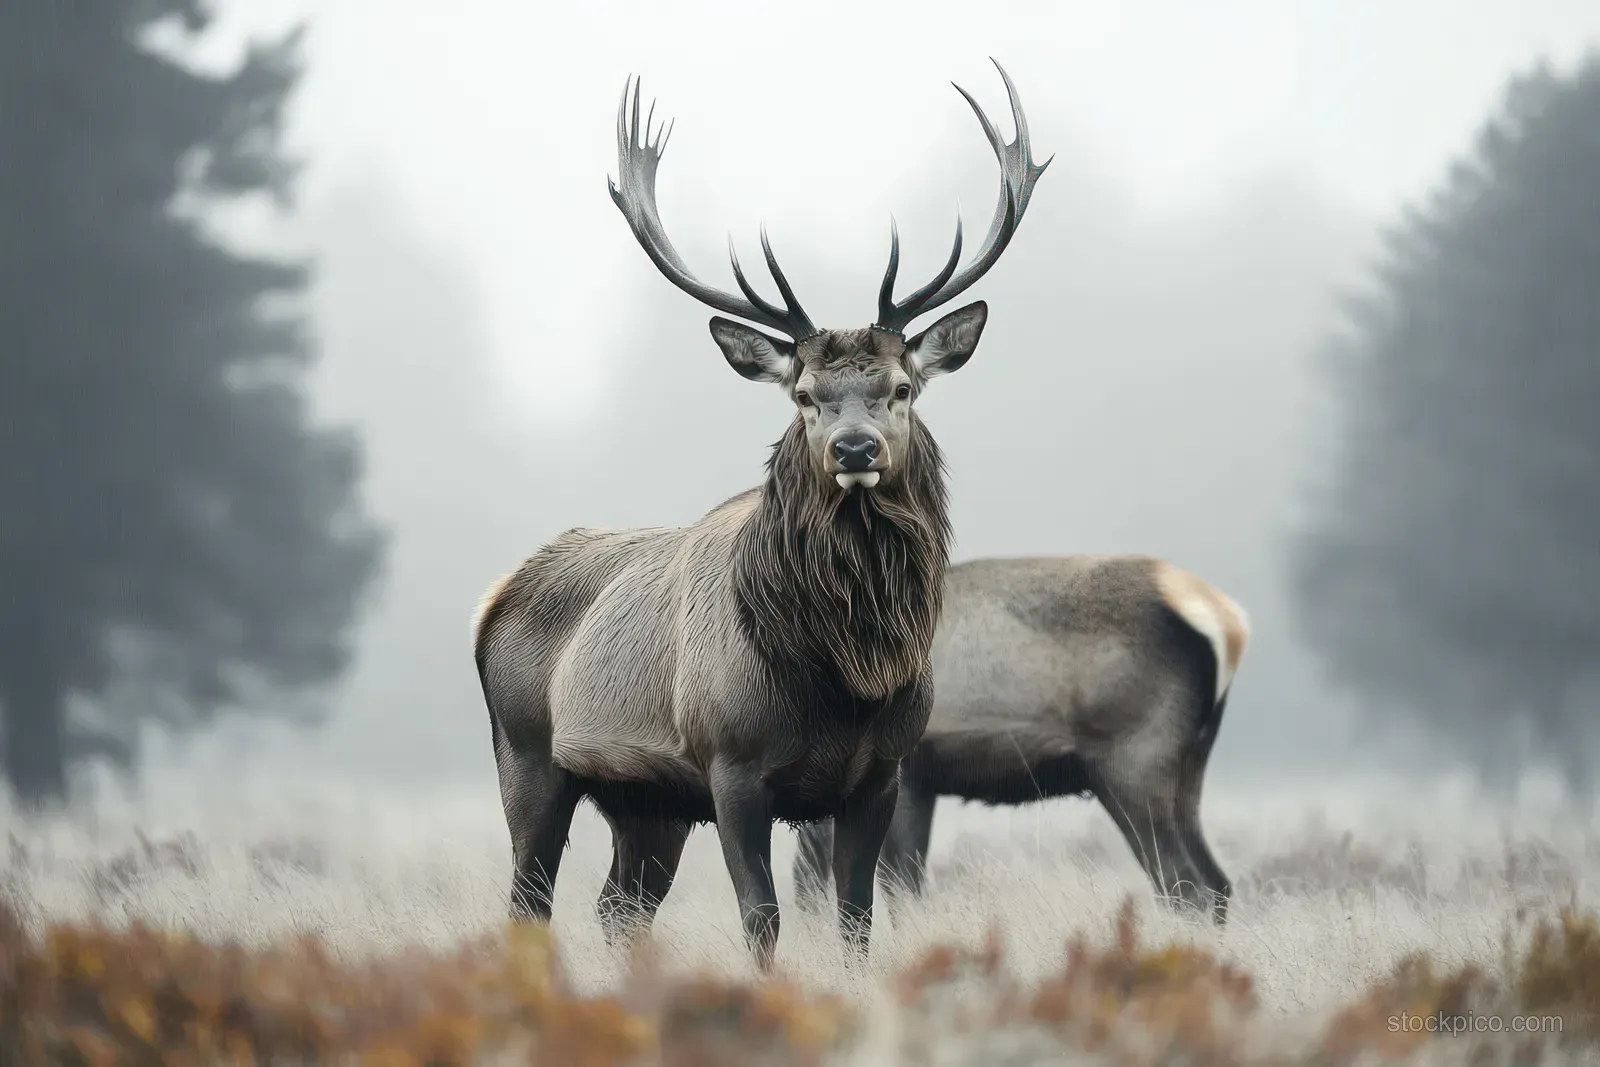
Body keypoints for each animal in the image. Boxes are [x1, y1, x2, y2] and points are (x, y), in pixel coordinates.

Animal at [471, 60, 1049, 971]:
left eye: (902, 387)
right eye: (805, 395)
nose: (854, 448)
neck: (842, 678)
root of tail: (495, 596)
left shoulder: (880, 772)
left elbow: (857, 920)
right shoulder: (731, 764)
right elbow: (763, 917)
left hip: (645, 799)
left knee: (618, 906)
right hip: (527, 754)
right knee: (529, 902)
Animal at [791, 555, 1249, 924]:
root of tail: (1230, 625)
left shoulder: (907, 776)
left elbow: (897, 889)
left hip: (1134, 766)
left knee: (1185, 885)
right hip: (1185, 774)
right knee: (1216, 883)